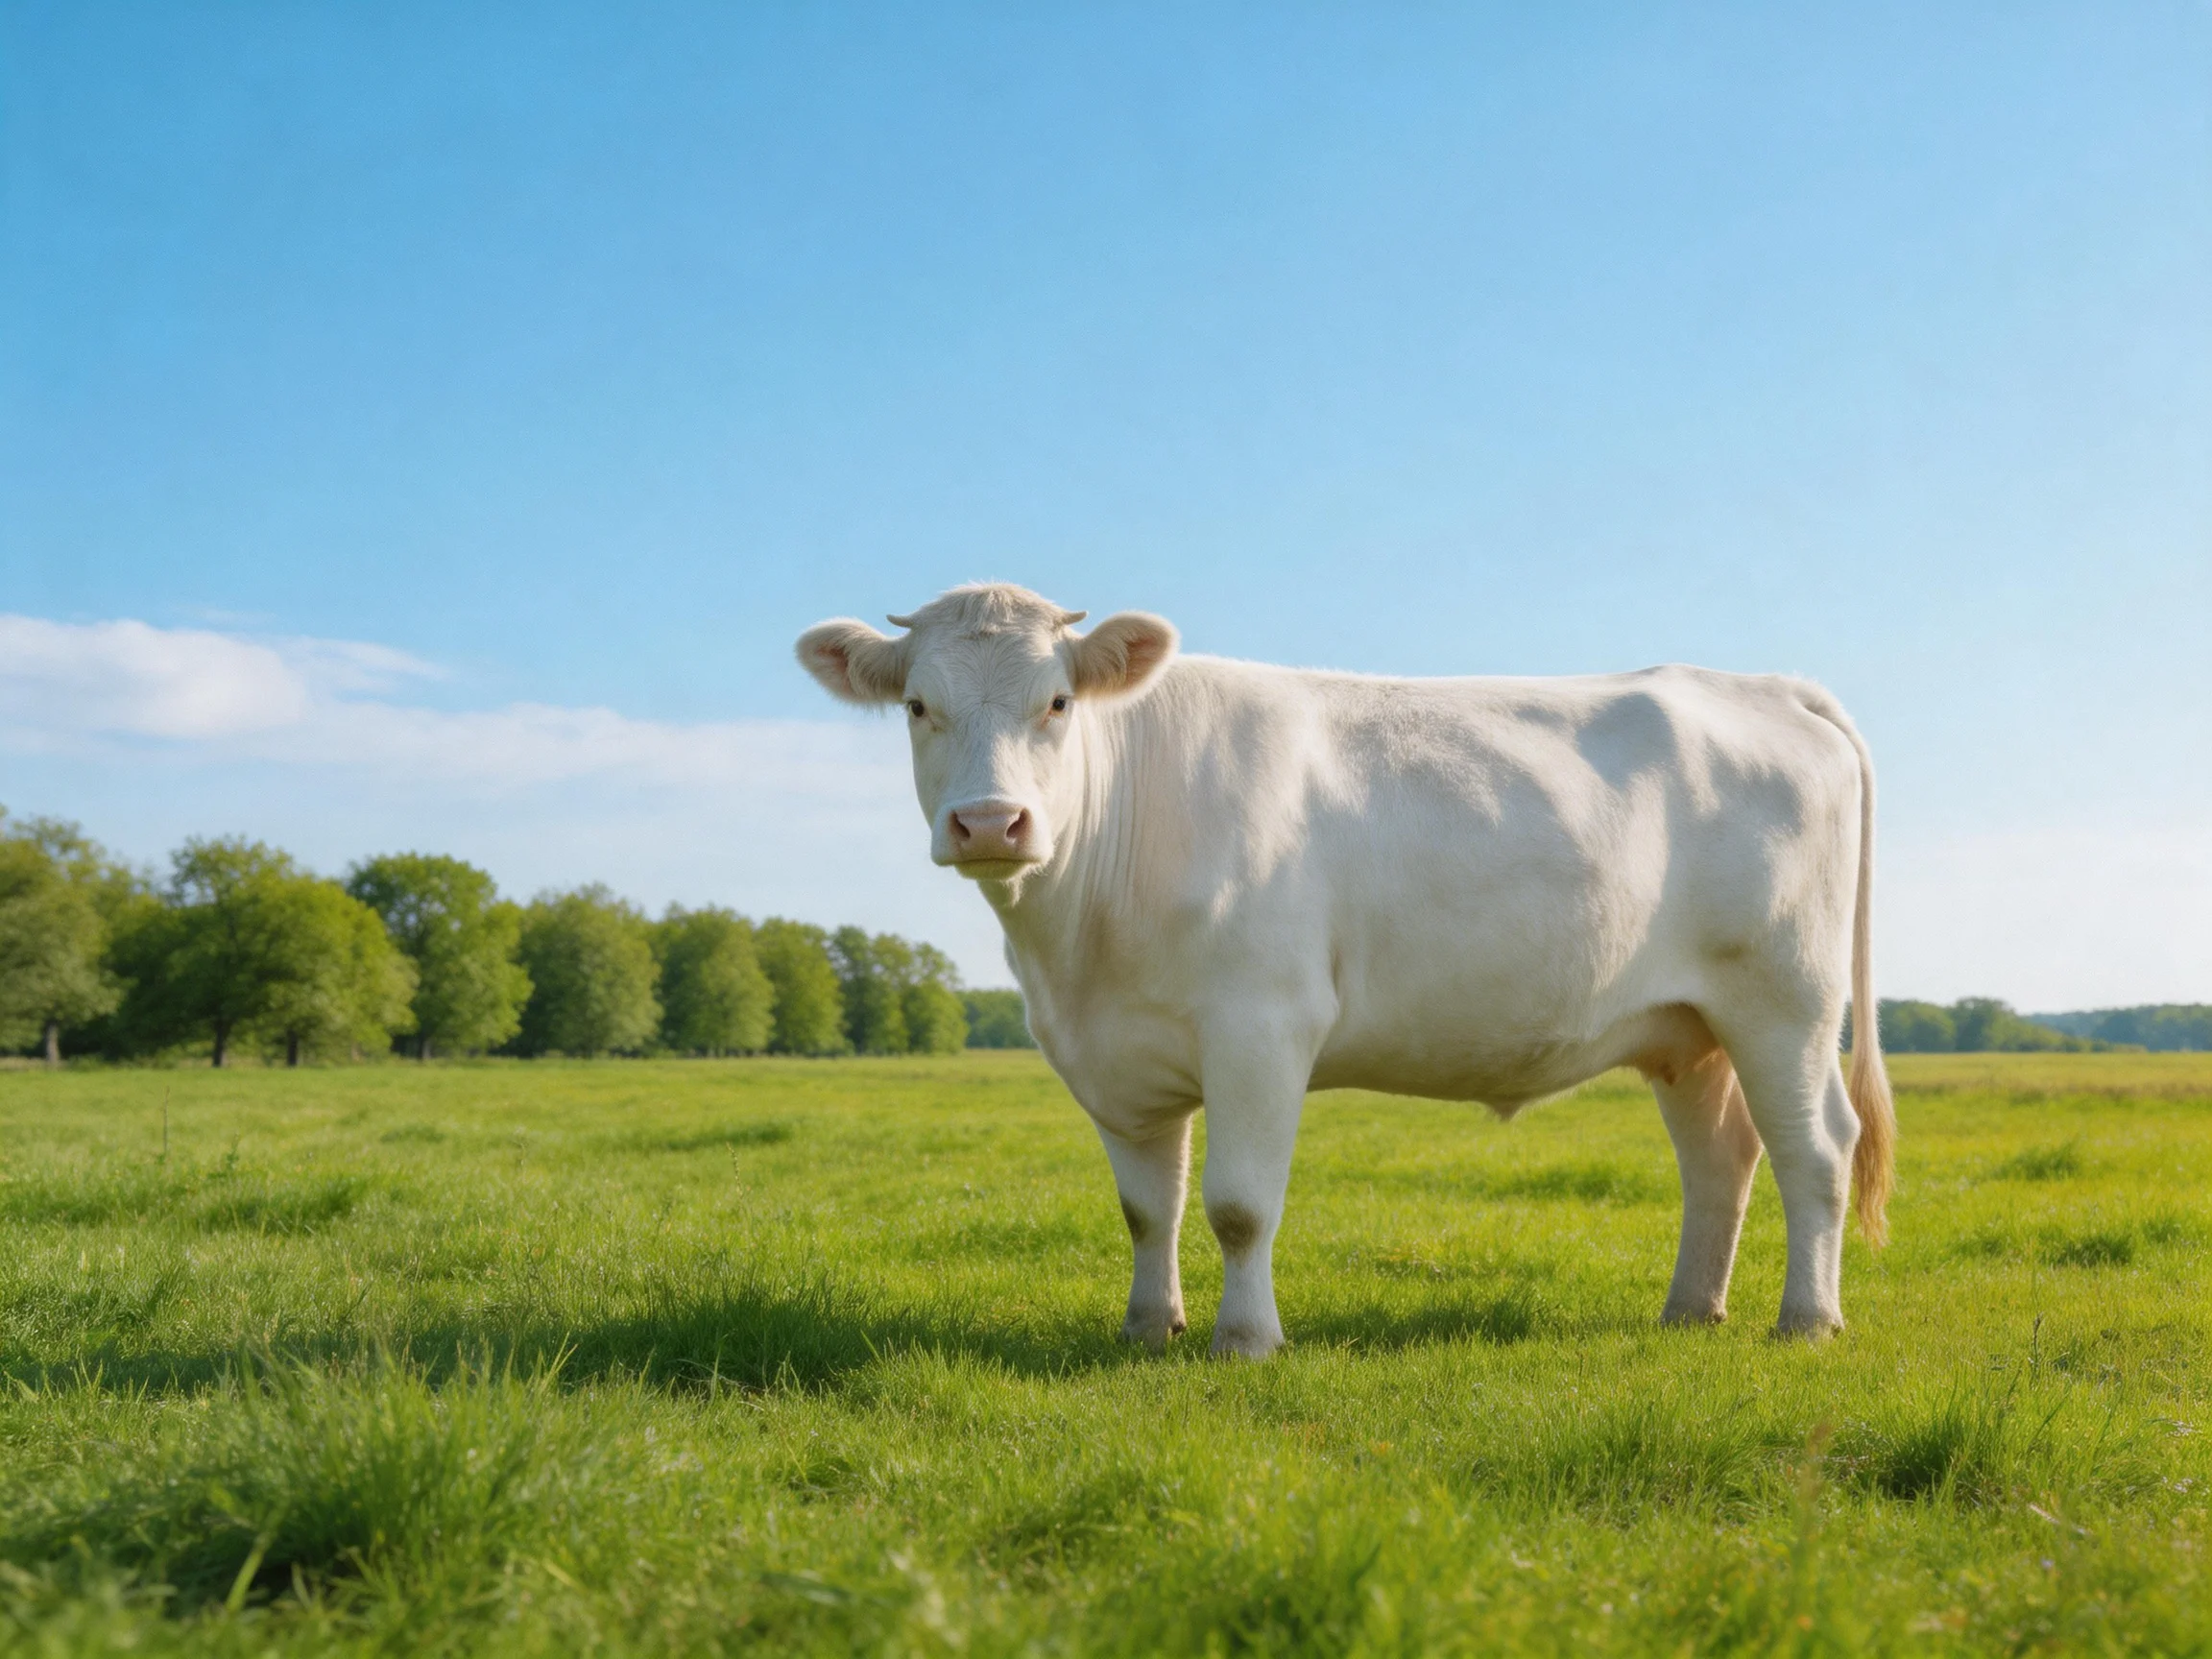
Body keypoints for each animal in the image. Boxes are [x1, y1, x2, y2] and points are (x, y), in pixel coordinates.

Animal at [798, 584, 1896, 1356]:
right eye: (917, 706)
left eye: (1059, 701)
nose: (990, 823)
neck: (1078, 952)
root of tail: (1761, 685)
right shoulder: (1118, 1057)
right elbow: (1148, 1209)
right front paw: (1149, 1329)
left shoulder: (1262, 1025)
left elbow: (1239, 1206)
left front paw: (1247, 1340)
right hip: (1689, 1028)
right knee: (1721, 1158)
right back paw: (1688, 1311)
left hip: (1785, 1001)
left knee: (1816, 1150)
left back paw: (1808, 1320)